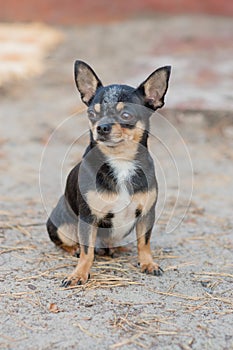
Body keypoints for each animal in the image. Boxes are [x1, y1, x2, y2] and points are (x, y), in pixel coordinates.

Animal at [47, 60, 171, 286]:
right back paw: (75, 249)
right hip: (59, 226)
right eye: (92, 114)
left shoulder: (147, 214)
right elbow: (87, 251)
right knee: (69, 243)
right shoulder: (89, 218)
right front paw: (79, 274)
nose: (101, 127)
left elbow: (144, 242)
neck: (120, 161)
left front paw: (148, 263)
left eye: (126, 115)